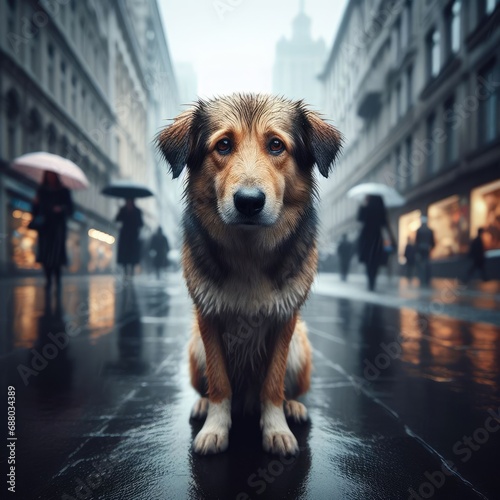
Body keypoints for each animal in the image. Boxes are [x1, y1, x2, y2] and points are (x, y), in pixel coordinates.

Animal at [158, 94, 342, 458]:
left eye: (276, 145)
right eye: (224, 145)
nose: (248, 202)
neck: (248, 250)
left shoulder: (284, 319)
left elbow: (272, 385)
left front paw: (276, 430)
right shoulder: (209, 318)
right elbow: (220, 383)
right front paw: (215, 428)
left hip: (301, 347)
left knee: (287, 390)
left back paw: (293, 407)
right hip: (195, 348)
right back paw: (203, 405)